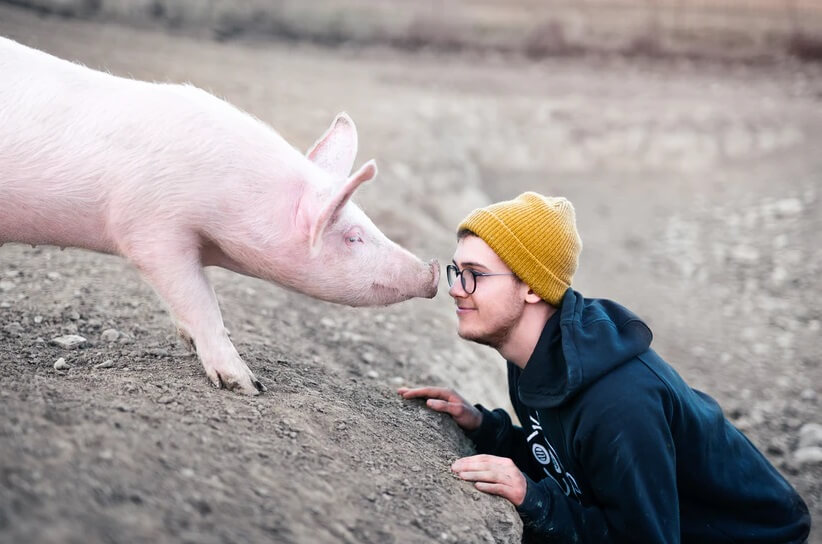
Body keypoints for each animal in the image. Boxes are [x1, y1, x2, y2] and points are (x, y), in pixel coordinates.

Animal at [0, 37, 440, 396]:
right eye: (352, 236)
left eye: (367, 221)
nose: (433, 271)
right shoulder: (150, 227)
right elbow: (200, 299)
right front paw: (248, 386)